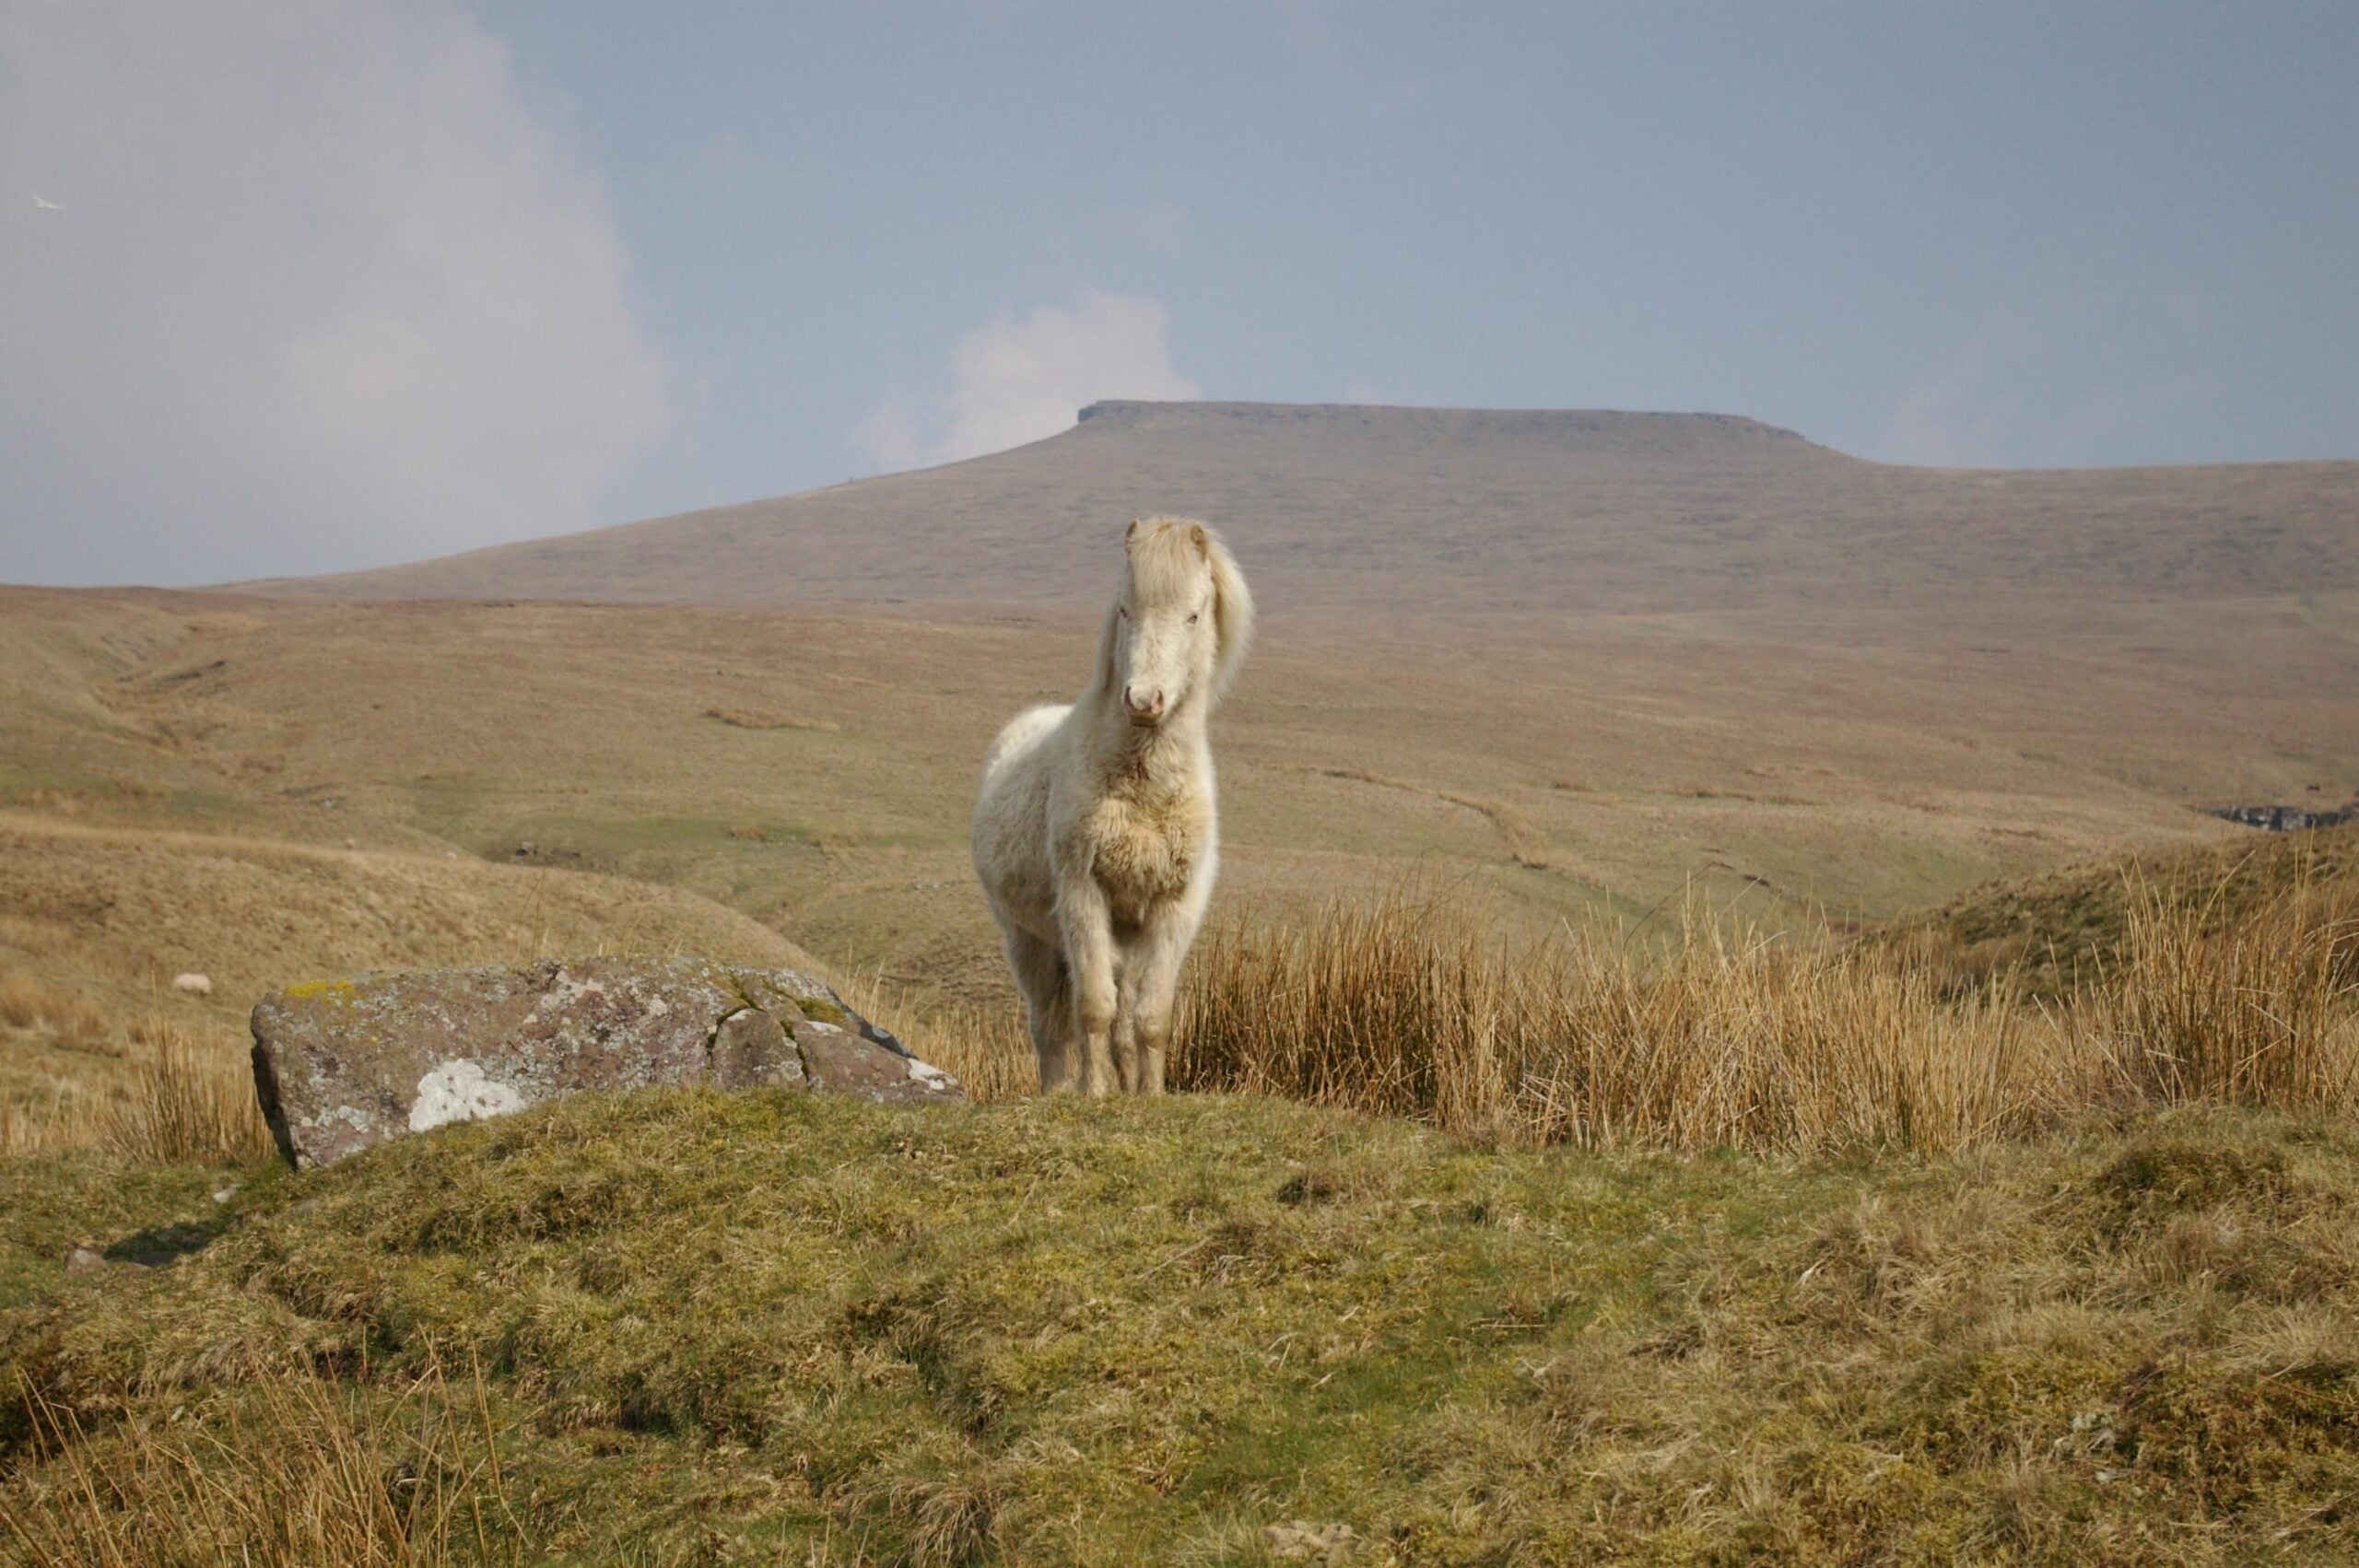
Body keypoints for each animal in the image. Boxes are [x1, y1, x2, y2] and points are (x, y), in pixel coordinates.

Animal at [970, 518, 1254, 1094]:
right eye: (1125, 609)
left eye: (1193, 614)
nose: (1144, 701)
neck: (1143, 792)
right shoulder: (1084, 895)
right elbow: (1094, 1009)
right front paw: (1095, 1094)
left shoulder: (1173, 909)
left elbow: (1151, 1018)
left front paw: (1148, 1094)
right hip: (1027, 940)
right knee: (1048, 1025)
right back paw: (1056, 1090)